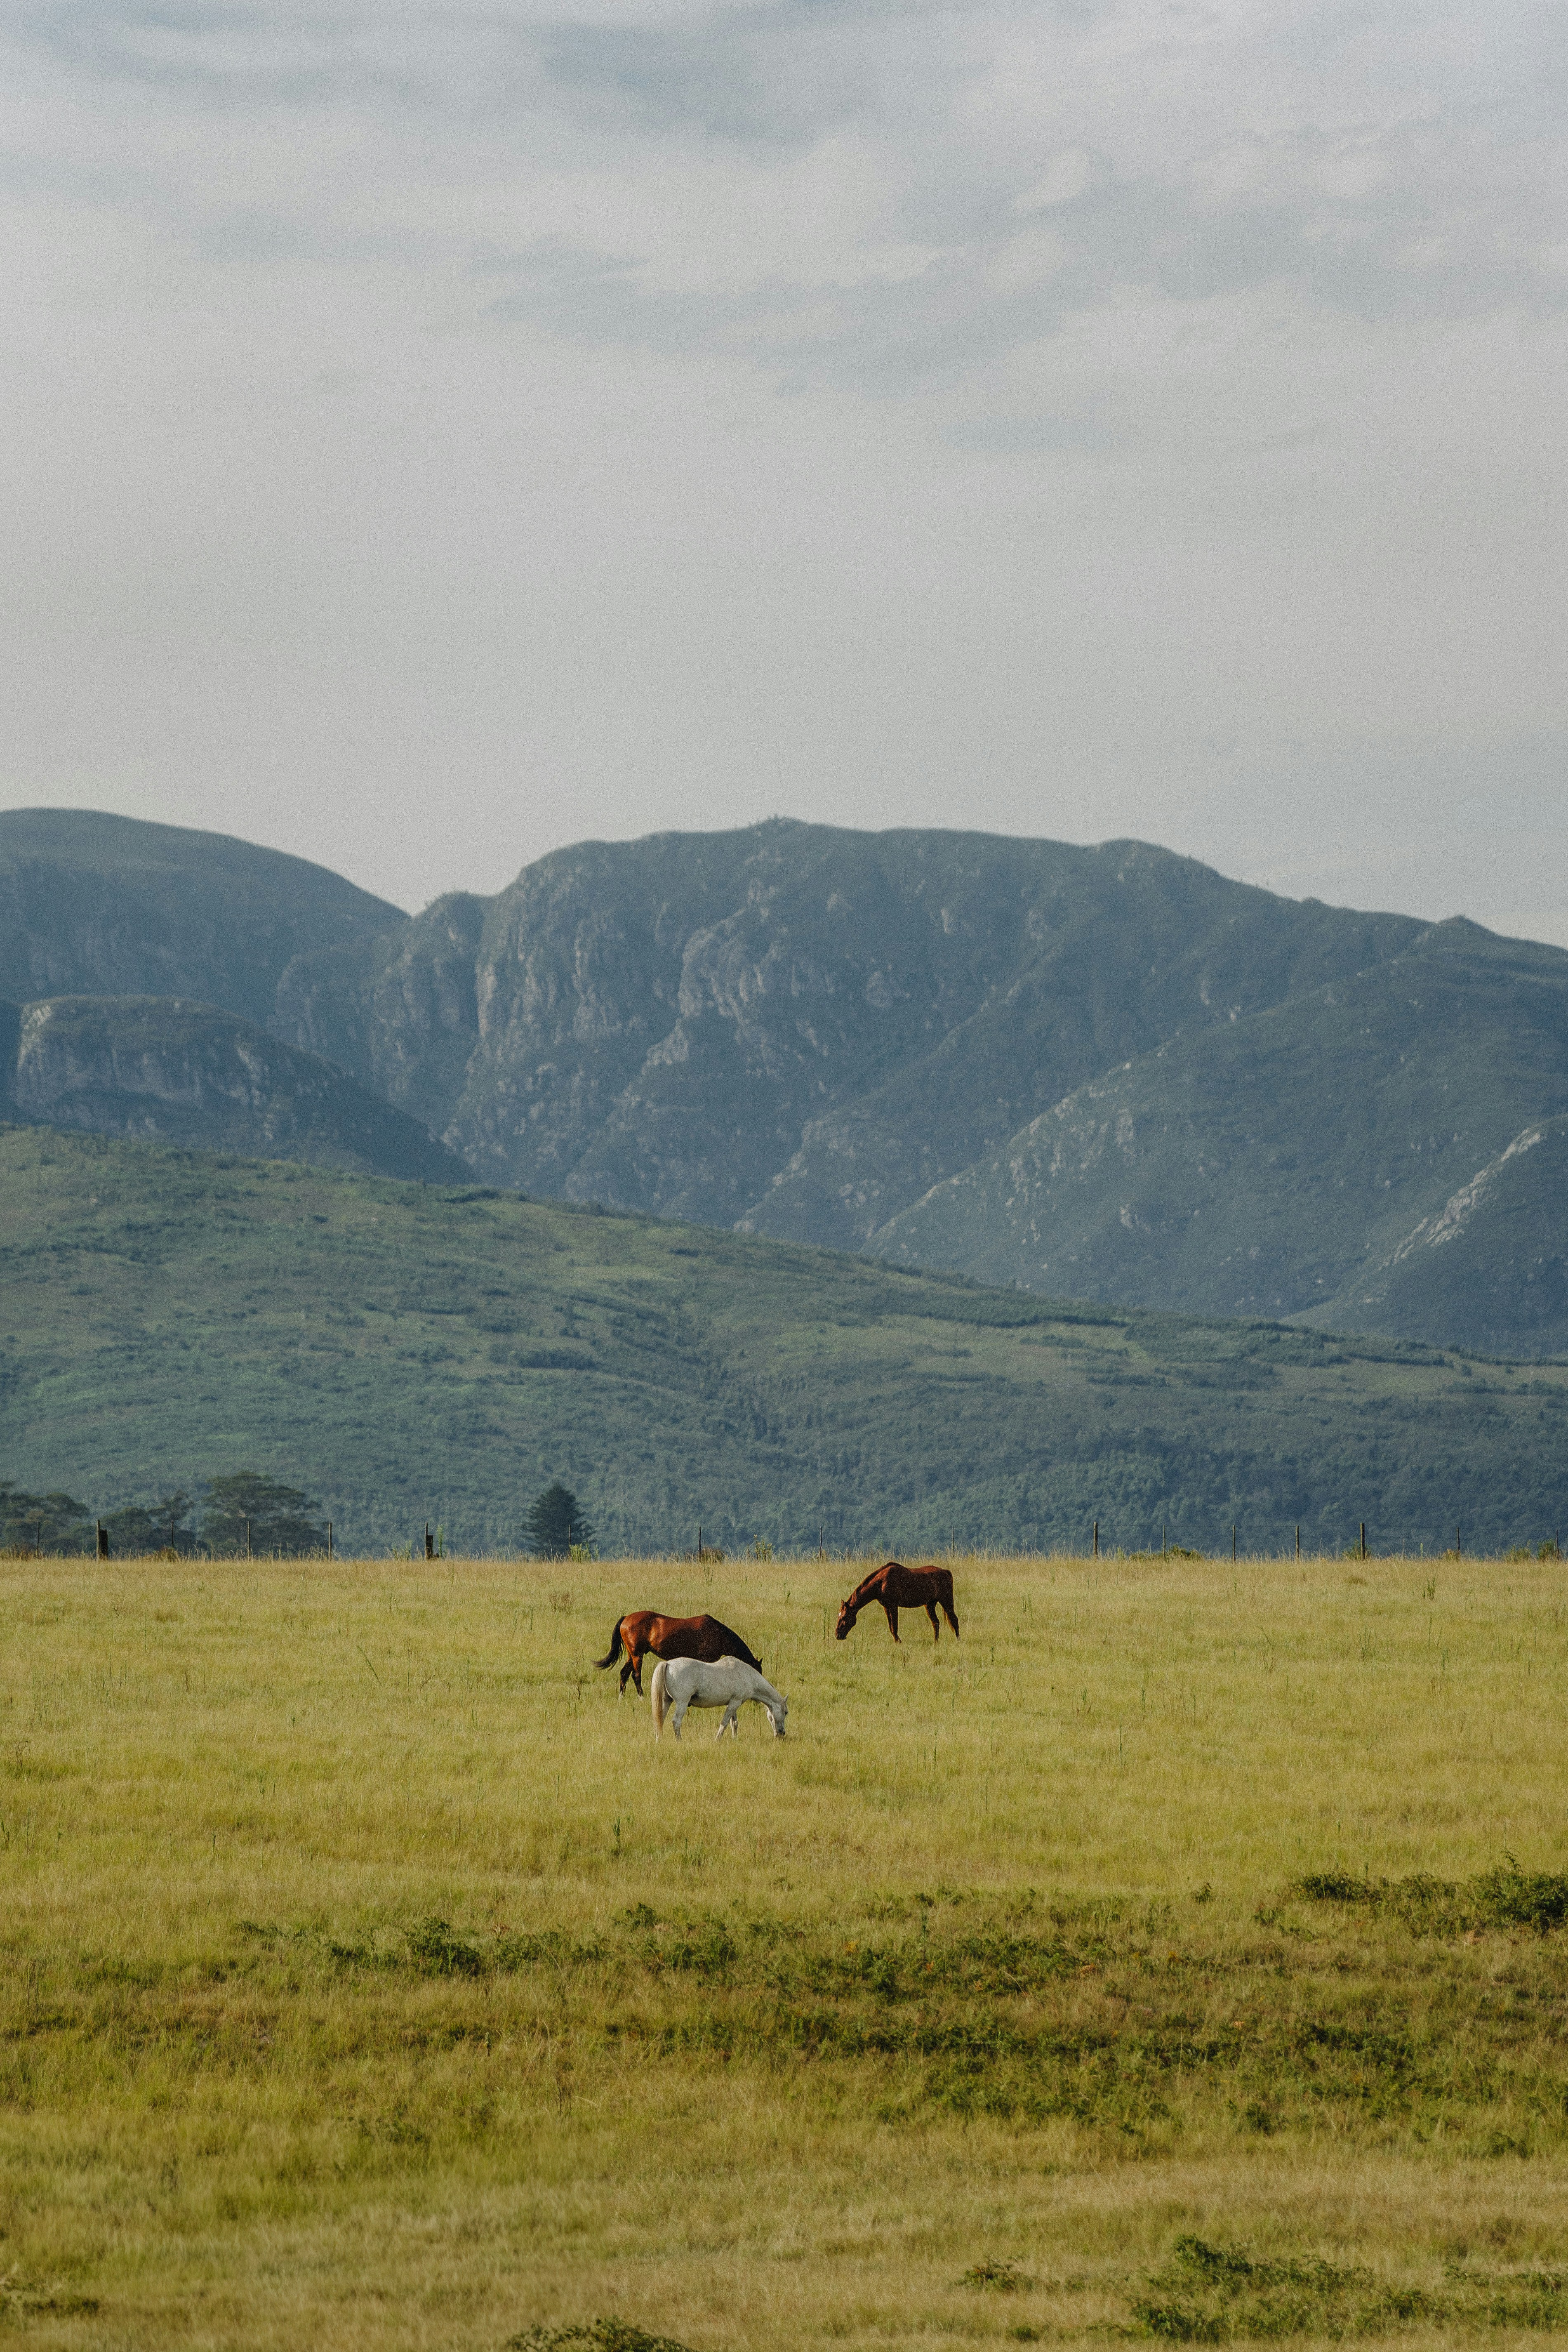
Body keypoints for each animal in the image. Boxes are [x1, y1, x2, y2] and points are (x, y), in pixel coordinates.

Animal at [594, 1610, 762, 1697]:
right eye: (758, 1672)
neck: (719, 1634)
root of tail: (626, 1619)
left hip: (632, 1654)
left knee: (624, 1673)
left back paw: (621, 1697)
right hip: (637, 1655)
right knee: (636, 1675)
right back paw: (641, 1697)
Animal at [650, 1655, 788, 1741]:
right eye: (786, 1712)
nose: (782, 1734)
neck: (747, 1676)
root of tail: (668, 1664)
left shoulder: (733, 1703)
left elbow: (734, 1724)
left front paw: (734, 1739)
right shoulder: (734, 1703)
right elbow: (725, 1723)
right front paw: (718, 1739)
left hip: (666, 1702)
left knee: (660, 1720)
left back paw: (659, 1740)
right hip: (682, 1703)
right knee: (676, 1722)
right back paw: (680, 1741)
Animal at [834, 1561, 960, 1645]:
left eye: (844, 1617)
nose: (838, 1635)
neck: (881, 1583)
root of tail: (947, 1572)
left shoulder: (893, 1606)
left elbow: (894, 1627)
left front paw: (899, 1642)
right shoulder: (886, 1607)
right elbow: (891, 1627)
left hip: (946, 1600)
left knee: (954, 1619)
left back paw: (958, 1640)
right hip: (930, 1605)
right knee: (936, 1623)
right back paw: (936, 1642)